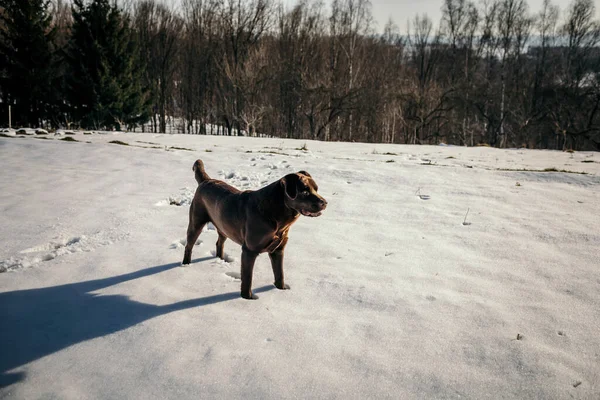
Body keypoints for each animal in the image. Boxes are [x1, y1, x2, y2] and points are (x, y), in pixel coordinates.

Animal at [183, 159, 328, 300]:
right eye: (304, 191)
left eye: (316, 189)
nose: (325, 203)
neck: (277, 218)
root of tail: (206, 180)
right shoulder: (249, 251)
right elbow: (247, 278)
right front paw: (247, 298)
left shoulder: (279, 250)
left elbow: (280, 273)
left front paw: (281, 290)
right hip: (196, 222)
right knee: (189, 245)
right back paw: (186, 265)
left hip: (223, 225)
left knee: (219, 242)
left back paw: (220, 259)